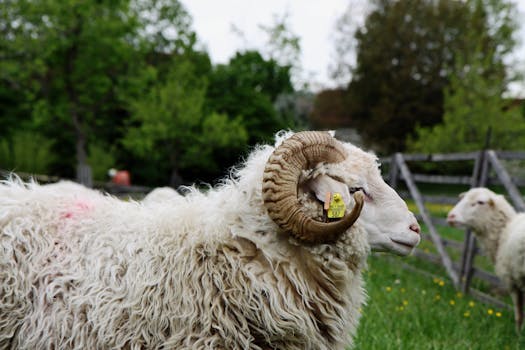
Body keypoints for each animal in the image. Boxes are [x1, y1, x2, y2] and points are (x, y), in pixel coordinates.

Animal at [446, 187, 524, 330]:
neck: (503, 231)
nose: (451, 216)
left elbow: (519, 315)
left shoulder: (512, 281)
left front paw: (518, 332)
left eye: (480, 202)